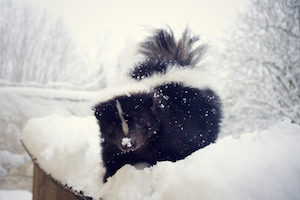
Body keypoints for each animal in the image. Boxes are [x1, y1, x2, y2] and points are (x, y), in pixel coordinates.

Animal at [94, 28, 223, 183]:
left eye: (141, 121)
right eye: (111, 125)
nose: (128, 143)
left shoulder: (174, 130)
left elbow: (176, 152)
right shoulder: (111, 144)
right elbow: (112, 157)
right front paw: (109, 178)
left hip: (207, 116)